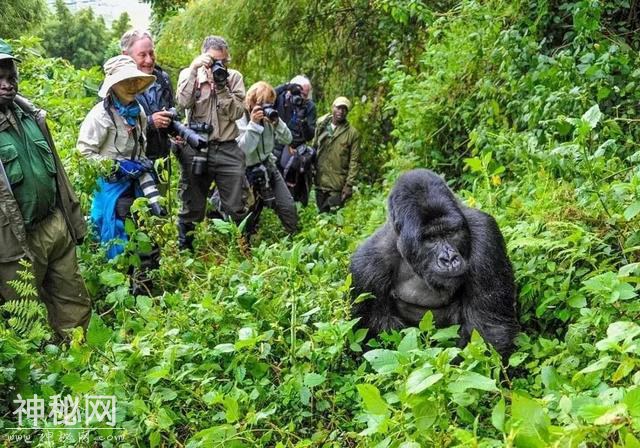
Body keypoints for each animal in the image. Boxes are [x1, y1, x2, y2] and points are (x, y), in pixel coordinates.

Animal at [350, 168, 520, 356]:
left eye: (450, 232)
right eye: (431, 238)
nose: (449, 259)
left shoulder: (485, 234)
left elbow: (488, 330)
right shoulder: (366, 268)